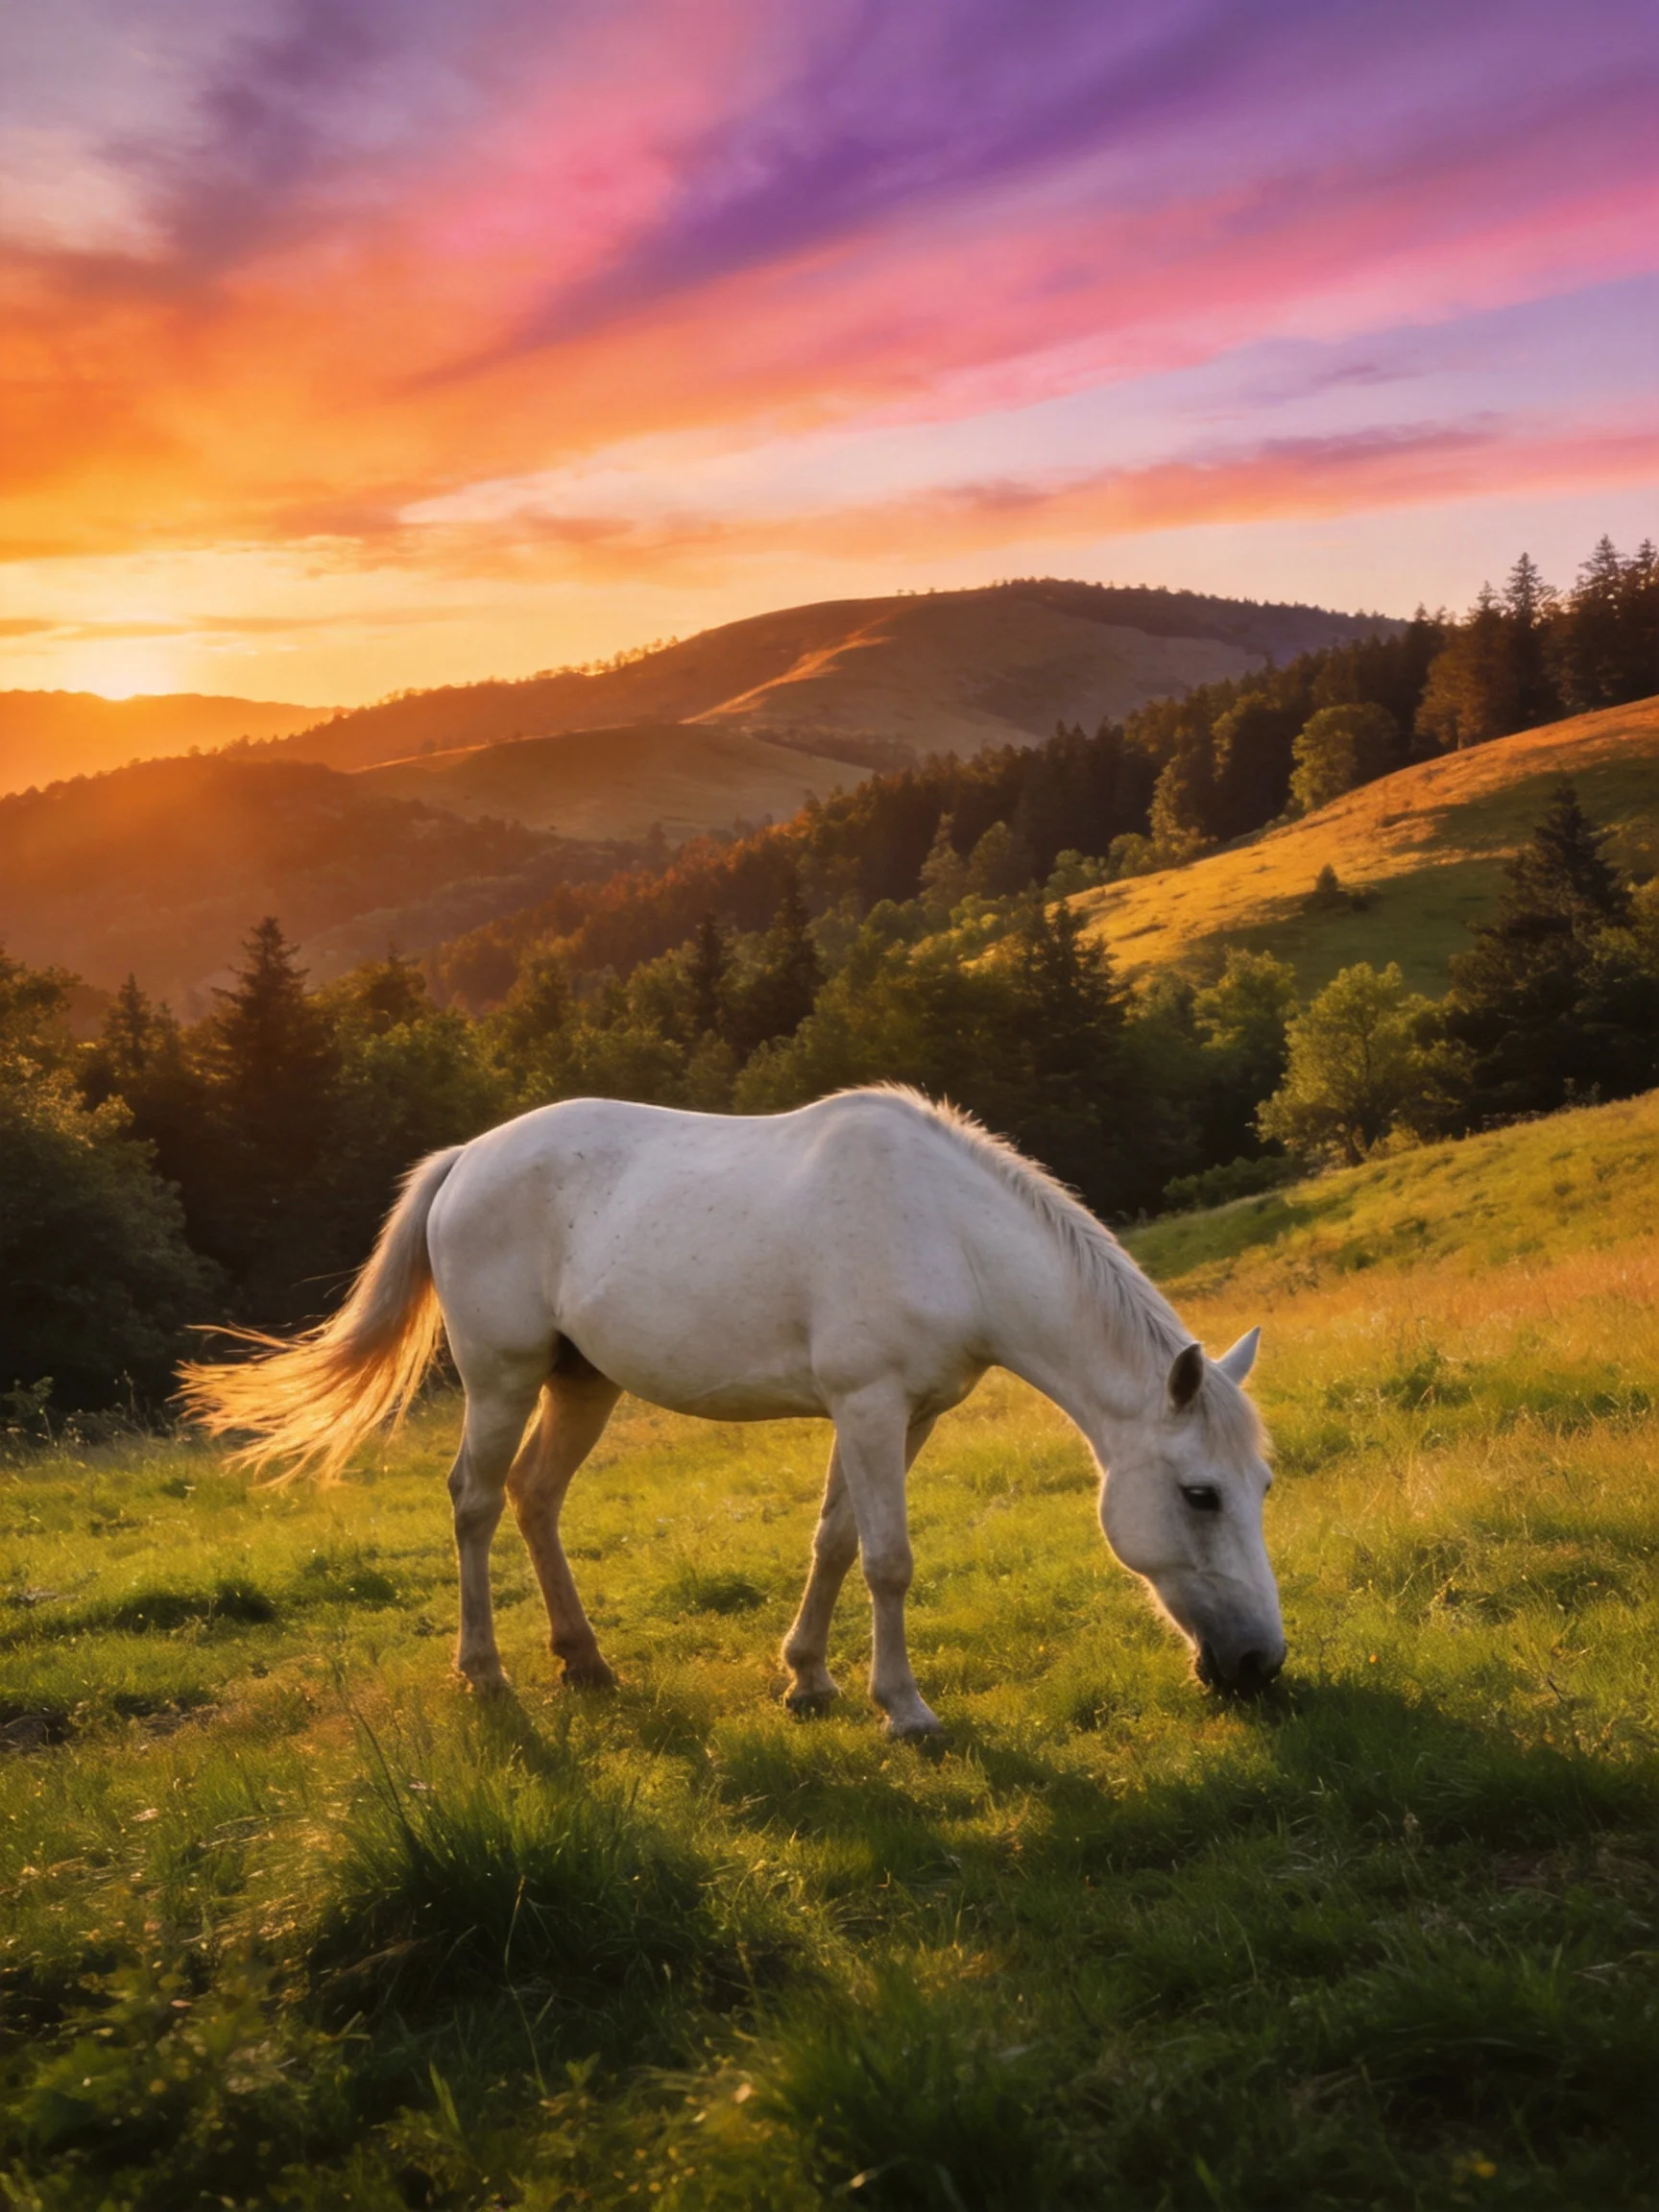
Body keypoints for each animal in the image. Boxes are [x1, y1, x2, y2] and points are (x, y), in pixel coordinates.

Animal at [181, 1085, 1284, 1736]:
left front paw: (808, 1680)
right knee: (476, 1502)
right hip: (502, 1378)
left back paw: (585, 1663)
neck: (950, 1234)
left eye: (1262, 1486)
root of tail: (467, 1159)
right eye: (1200, 1495)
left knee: (536, 1498)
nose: (1260, 1664)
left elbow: (837, 1540)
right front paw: (904, 1709)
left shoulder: (900, 1414)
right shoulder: (871, 1407)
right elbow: (889, 1559)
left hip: (582, 1383)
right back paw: (485, 1673)